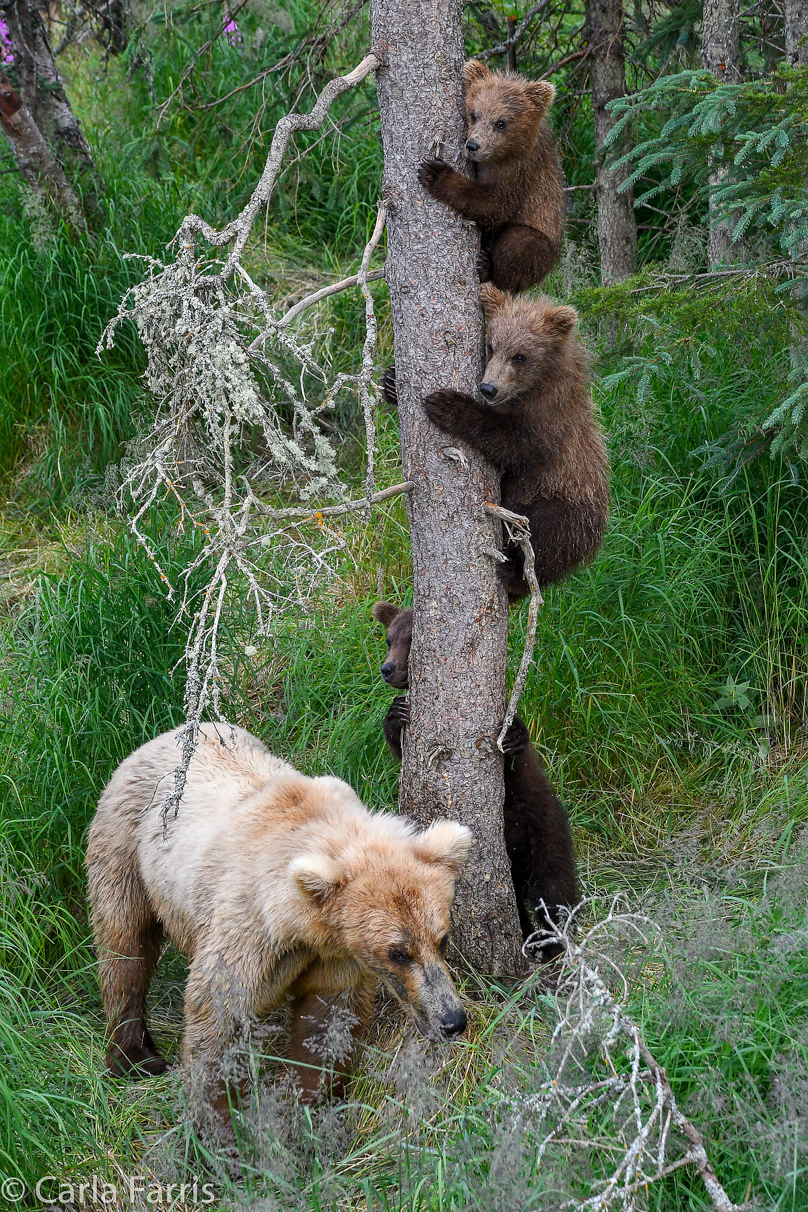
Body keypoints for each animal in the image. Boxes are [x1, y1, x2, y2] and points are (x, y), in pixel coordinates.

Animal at [85, 722, 470, 1110]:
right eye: (398, 953)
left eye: (442, 939)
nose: (452, 1020)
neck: (300, 926)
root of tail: (170, 733)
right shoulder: (248, 930)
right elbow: (218, 1013)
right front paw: (217, 1111)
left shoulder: (336, 955)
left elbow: (327, 1022)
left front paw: (312, 1101)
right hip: (126, 843)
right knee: (125, 945)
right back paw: (134, 1056)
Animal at [421, 59, 566, 293]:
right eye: (474, 114)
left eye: (501, 122)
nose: (473, 145)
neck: (503, 154)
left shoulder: (519, 172)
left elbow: (494, 204)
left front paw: (435, 173)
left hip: (542, 240)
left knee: (521, 244)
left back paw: (486, 267)